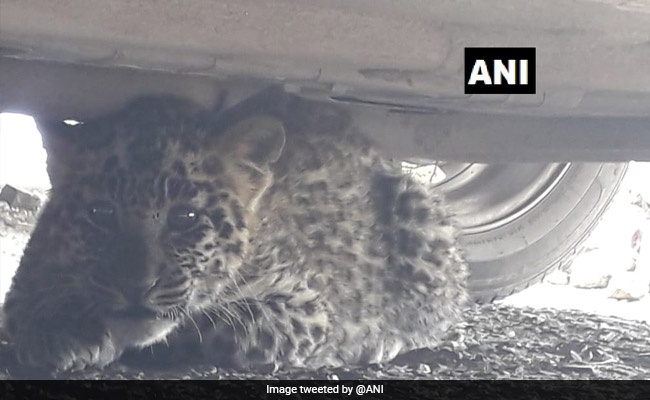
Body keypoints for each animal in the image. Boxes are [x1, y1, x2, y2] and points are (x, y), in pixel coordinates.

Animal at [2, 88, 469, 373]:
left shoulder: (306, 307)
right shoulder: (26, 280)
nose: (136, 287)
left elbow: (222, 324)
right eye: (101, 212)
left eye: (186, 218)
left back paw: (381, 341)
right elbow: (29, 307)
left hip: (423, 215)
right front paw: (64, 329)